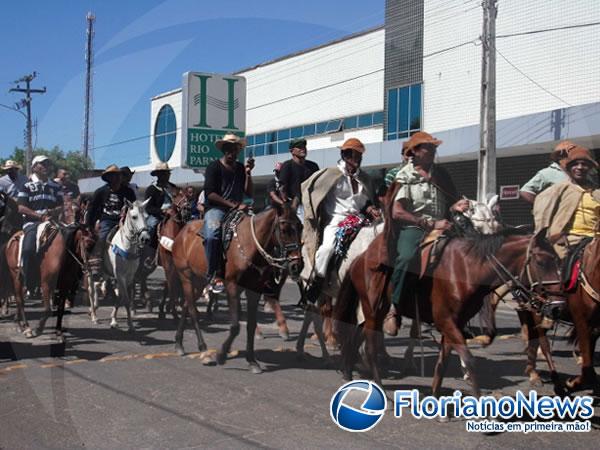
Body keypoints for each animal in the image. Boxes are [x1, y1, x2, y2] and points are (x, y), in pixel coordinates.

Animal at [103, 199, 150, 332]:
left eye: (146, 217)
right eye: (134, 217)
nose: (145, 238)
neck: (126, 247)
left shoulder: (129, 277)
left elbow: (122, 298)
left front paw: (118, 320)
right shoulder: (120, 276)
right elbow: (125, 299)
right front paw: (122, 323)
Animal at [172, 203, 304, 372]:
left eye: (300, 226)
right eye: (284, 229)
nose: (297, 265)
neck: (250, 245)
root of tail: (181, 233)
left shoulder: (253, 290)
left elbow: (251, 325)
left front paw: (252, 361)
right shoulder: (232, 286)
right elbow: (235, 326)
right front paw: (221, 355)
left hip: (199, 282)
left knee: (186, 306)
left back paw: (179, 343)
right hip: (186, 276)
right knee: (193, 311)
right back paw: (204, 350)